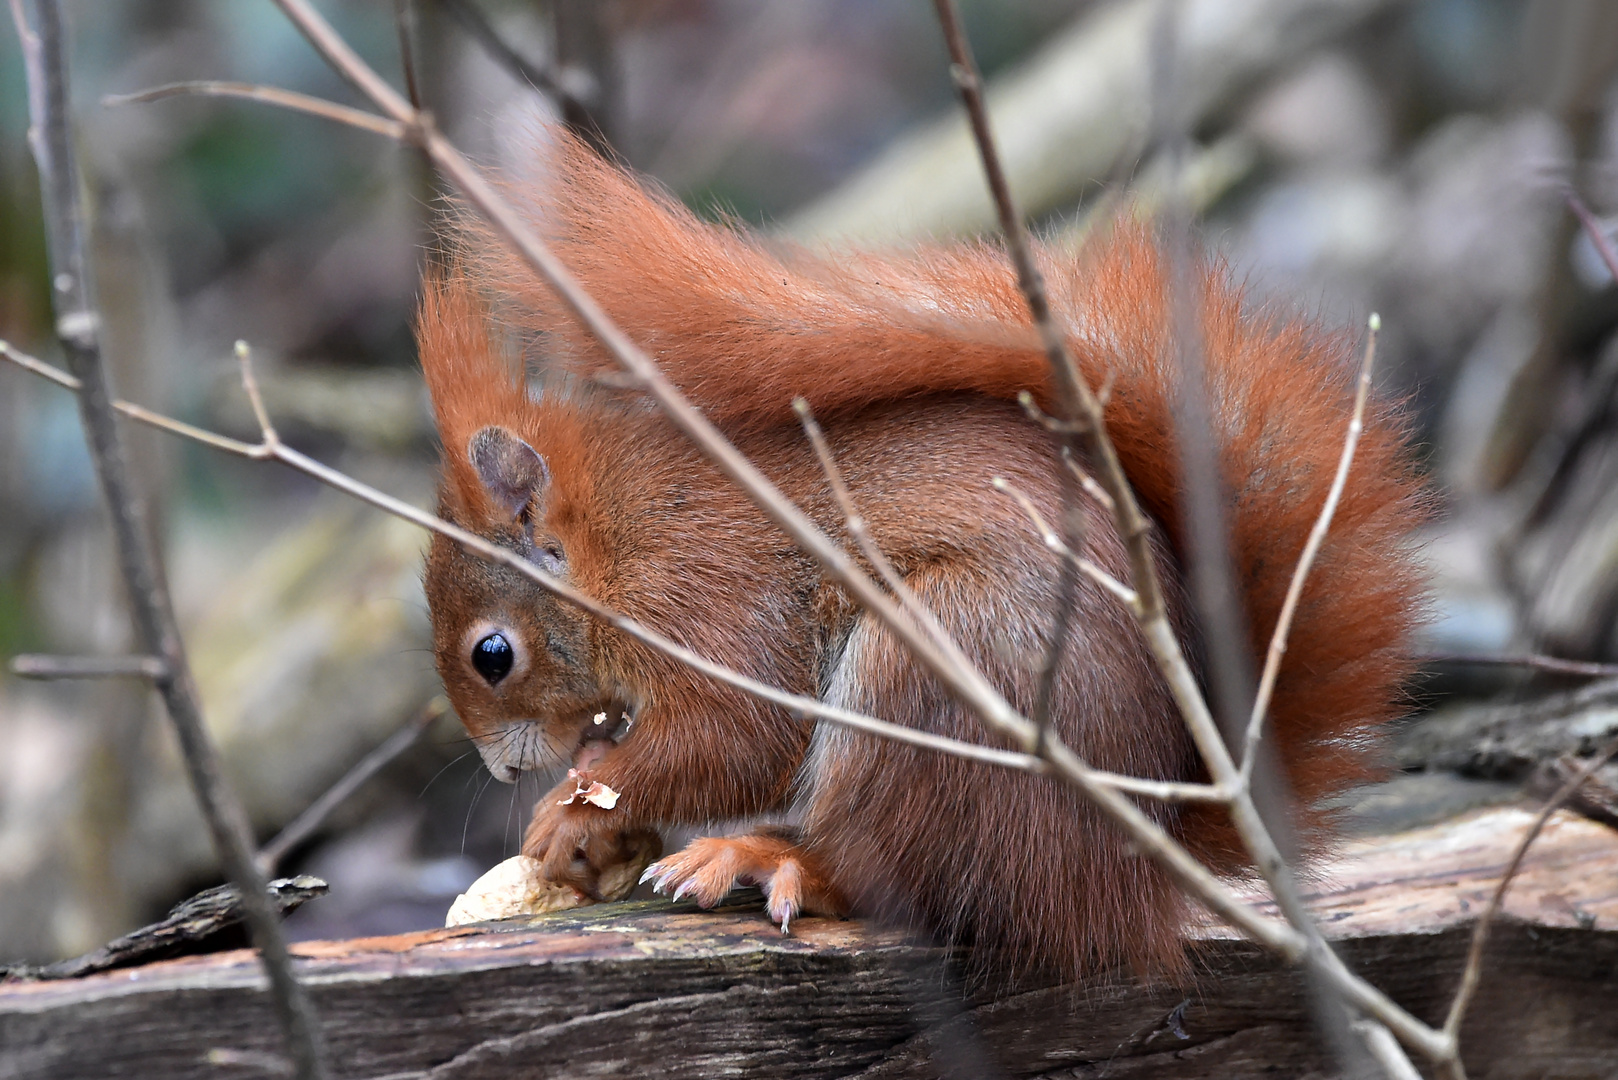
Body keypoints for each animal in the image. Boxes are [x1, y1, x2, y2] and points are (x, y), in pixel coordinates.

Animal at [420, 128, 1430, 977]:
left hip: (935, 671)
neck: (619, 538)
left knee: (888, 875)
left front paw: (572, 806)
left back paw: (771, 857)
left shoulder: (711, 597)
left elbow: (734, 737)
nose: (503, 773)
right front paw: (589, 814)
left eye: (492, 654)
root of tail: (1134, 864)